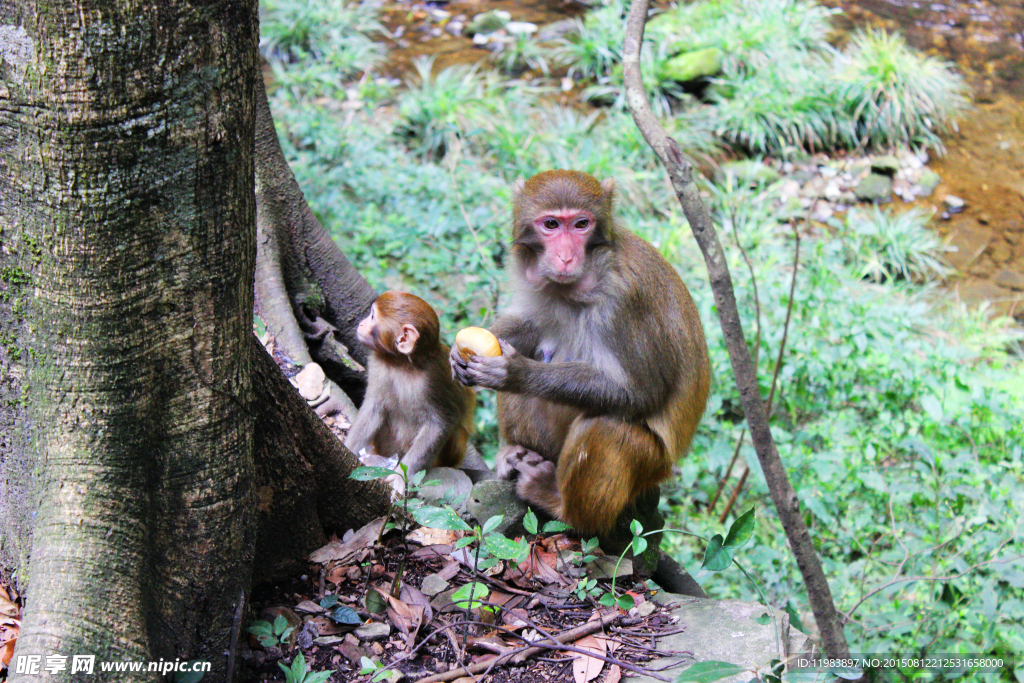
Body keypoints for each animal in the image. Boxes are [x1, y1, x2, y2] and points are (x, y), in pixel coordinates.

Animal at [342, 290, 473, 479]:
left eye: (372, 316)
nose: (361, 323)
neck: (401, 364)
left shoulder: (432, 379)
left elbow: (442, 422)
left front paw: (401, 479)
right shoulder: (378, 364)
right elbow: (373, 408)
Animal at [452, 169, 708, 532]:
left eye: (581, 224)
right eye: (551, 224)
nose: (565, 256)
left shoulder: (626, 300)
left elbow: (643, 392)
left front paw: (517, 373)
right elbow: (531, 326)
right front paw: (457, 355)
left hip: (650, 466)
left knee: (606, 427)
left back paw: (560, 504)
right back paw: (515, 452)